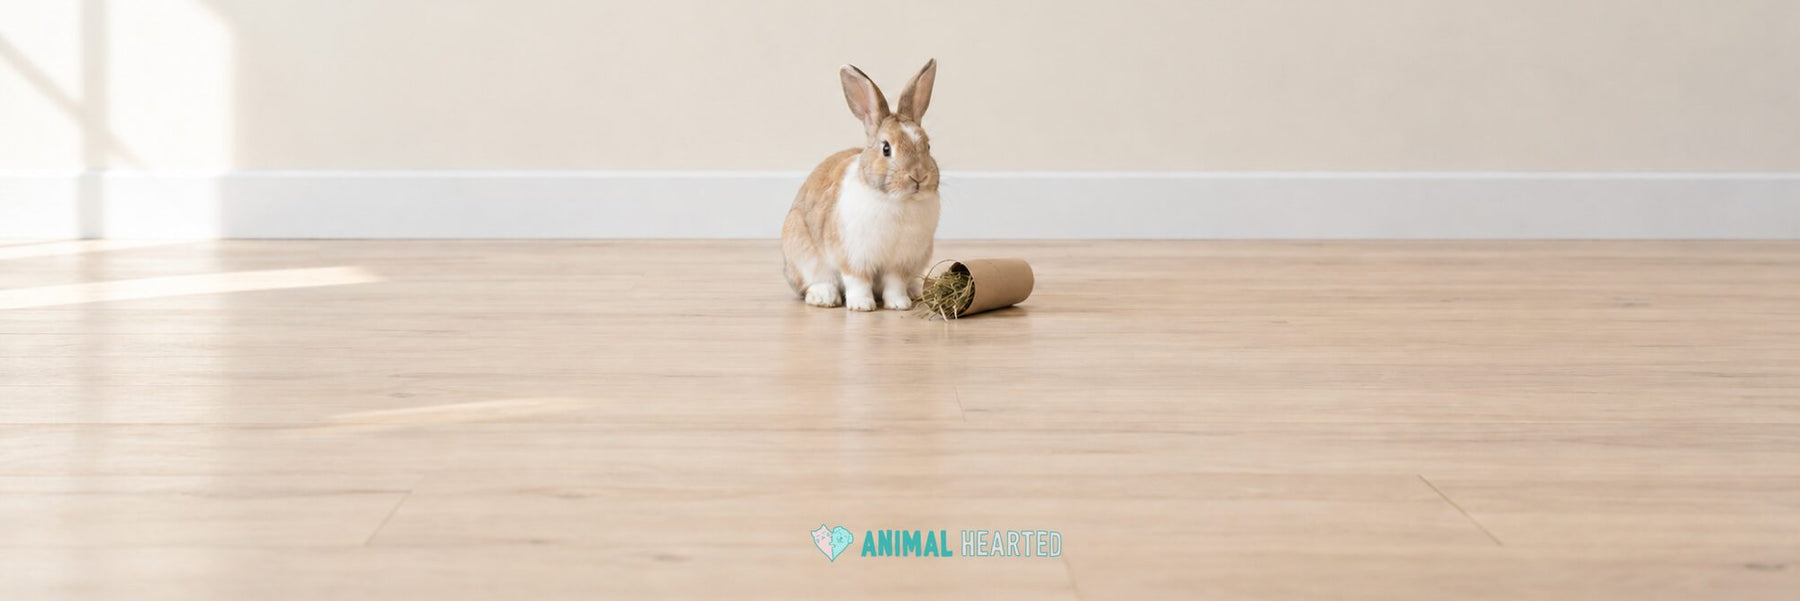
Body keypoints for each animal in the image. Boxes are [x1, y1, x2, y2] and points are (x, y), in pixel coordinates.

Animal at [782, 59, 941, 311]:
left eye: (927, 146)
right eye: (886, 148)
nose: (918, 177)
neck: (898, 201)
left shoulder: (900, 263)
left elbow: (895, 283)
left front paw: (899, 304)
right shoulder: (854, 257)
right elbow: (857, 280)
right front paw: (862, 305)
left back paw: (915, 291)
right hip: (801, 251)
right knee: (814, 282)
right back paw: (824, 297)